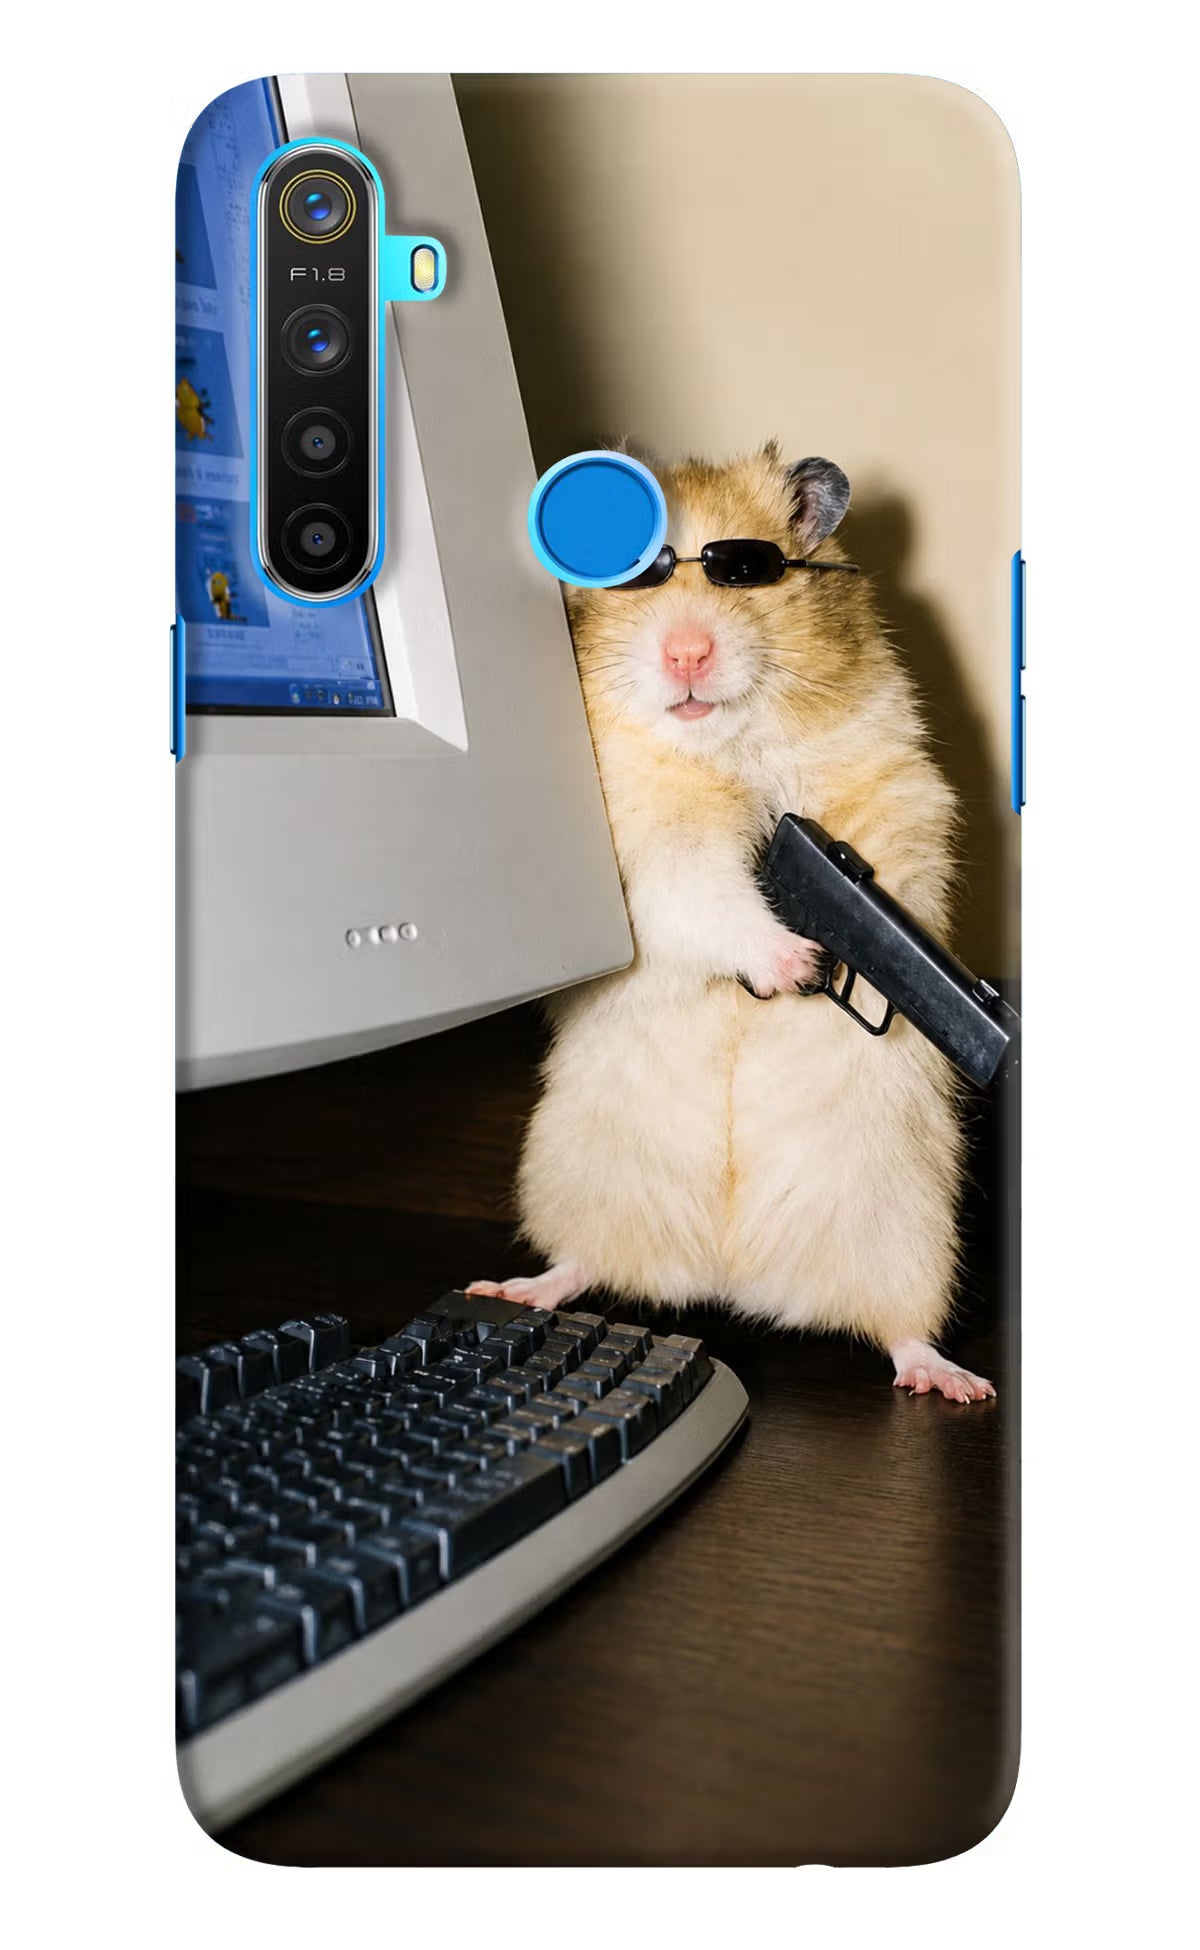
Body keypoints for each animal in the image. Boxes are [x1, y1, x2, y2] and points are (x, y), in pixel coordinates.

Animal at [469, 444, 994, 1402]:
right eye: (638, 575)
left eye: (746, 571)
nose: (687, 652)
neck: (727, 747)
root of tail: (730, 1276)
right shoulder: (650, 851)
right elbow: (707, 895)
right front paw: (796, 964)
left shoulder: (895, 790)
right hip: (579, 1177)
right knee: (582, 1263)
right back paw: (514, 1288)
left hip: (907, 1229)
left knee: (900, 1329)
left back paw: (954, 1382)